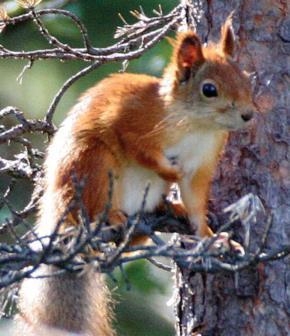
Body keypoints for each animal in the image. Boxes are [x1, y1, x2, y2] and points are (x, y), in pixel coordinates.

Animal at [17, 19, 254, 336]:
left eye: (246, 79)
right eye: (209, 89)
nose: (248, 115)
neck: (196, 125)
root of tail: (60, 214)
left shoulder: (201, 166)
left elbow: (195, 202)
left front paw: (211, 238)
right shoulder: (129, 122)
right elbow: (139, 150)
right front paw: (170, 170)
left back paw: (167, 208)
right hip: (94, 165)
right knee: (93, 209)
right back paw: (112, 216)